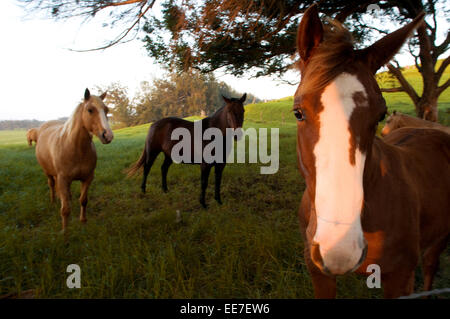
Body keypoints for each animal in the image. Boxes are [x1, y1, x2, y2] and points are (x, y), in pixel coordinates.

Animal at [36, 89, 115, 231]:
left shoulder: (88, 178)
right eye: (90, 110)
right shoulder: (63, 179)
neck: (75, 149)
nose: (108, 135)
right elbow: (65, 209)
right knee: (51, 185)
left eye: (106, 110)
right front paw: (65, 231)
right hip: (49, 173)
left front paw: (83, 221)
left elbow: (83, 200)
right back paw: (53, 201)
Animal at [296, 4, 446, 300]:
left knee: (431, 263)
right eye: (298, 112)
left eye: (381, 115)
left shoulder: (399, 278)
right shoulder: (318, 272)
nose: (339, 250)